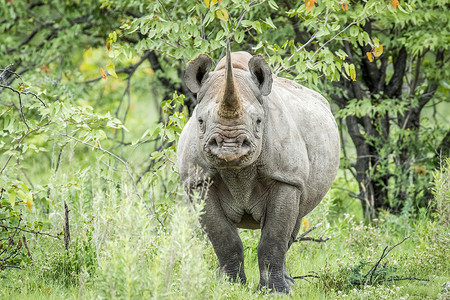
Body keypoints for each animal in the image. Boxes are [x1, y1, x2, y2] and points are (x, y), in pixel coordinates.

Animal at [178, 43, 340, 292]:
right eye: (201, 122)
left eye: (258, 122)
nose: (229, 146)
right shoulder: (198, 181)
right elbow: (223, 238)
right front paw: (229, 287)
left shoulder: (286, 178)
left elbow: (274, 237)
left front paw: (276, 292)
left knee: (294, 223)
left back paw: (289, 284)